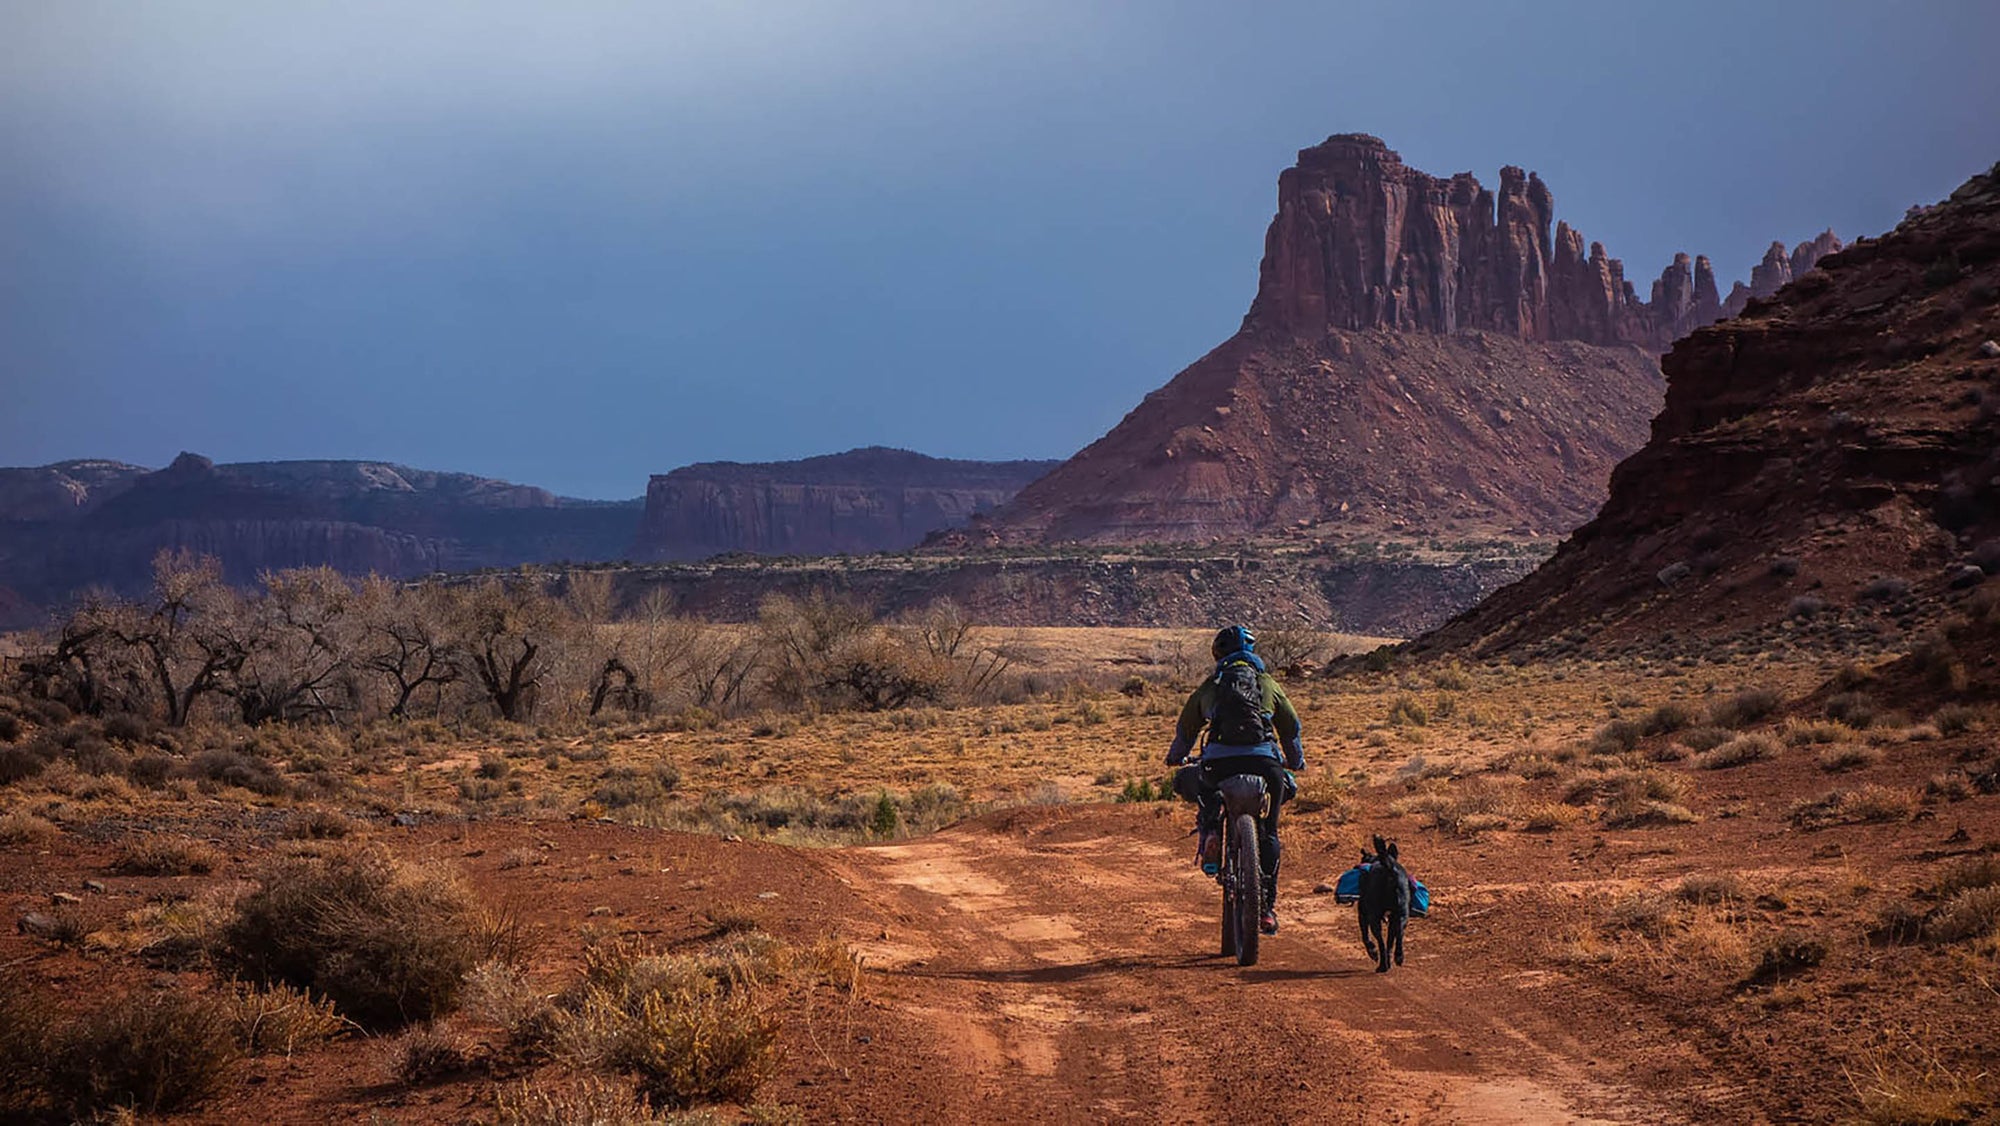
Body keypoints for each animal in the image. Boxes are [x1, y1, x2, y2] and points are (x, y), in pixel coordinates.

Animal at [1360, 832, 1408, 972]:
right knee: (1399, 934)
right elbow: (1390, 942)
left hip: (1374, 918)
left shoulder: (1363, 914)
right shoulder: (1393, 918)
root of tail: (1389, 868)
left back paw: (1382, 965)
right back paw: (1398, 957)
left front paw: (1373, 952)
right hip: (1401, 915)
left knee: (1380, 941)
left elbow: (1365, 937)